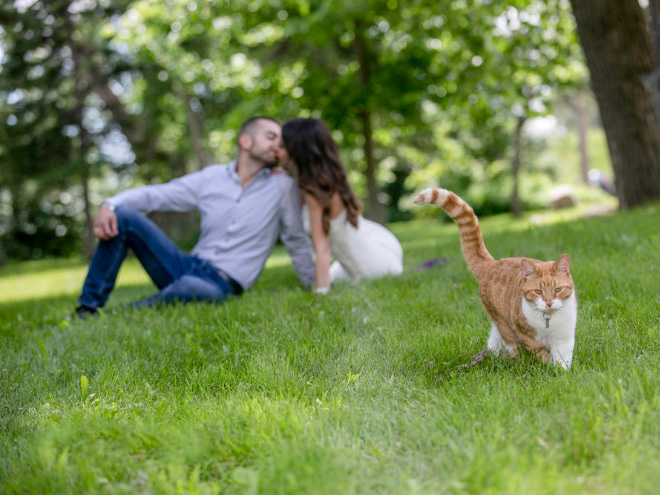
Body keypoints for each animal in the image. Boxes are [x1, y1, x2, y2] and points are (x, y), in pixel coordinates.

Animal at [416, 188, 576, 370]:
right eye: (538, 291)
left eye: (558, 289)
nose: (549, 303)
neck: (548, 321)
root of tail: (492, 264)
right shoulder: (525, 334)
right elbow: (540, 353)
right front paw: (546, 367)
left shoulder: (564, 338)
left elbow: (562, 360)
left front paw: (561, 373)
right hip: (502, 321)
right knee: (511, 344)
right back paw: (513, 362)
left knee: (494, 340)